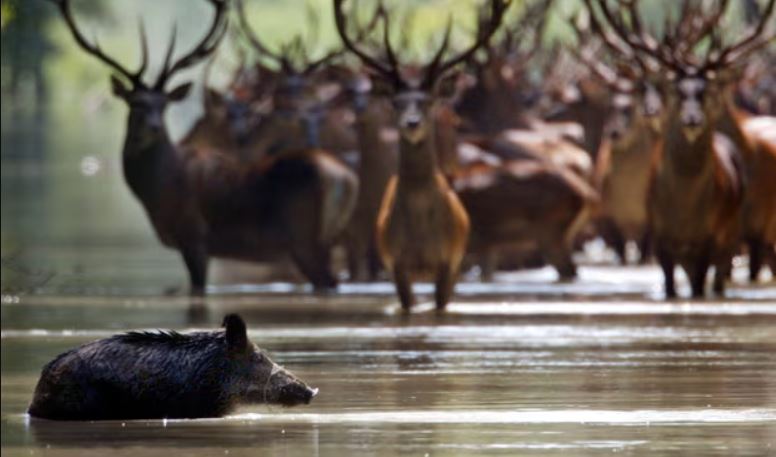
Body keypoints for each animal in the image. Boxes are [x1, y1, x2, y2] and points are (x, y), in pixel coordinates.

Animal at [53, 0, 356, 292]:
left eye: (163, 105)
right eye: (136, 103)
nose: (152, 128)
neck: (161, 190)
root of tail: (346, 178)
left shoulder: (194, 237)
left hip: (305, 238)